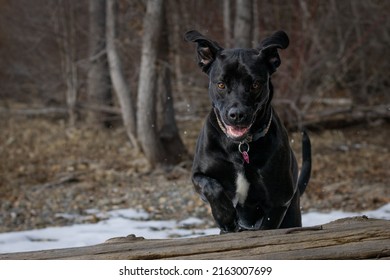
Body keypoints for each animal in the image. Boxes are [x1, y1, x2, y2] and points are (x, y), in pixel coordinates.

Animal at [185, 29, 310, 233]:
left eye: (255, 84)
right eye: (221, 84)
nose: (237, 114)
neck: (240, 146)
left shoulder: (279, 200)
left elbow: (268, 227)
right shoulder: (198, 176)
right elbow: (212, 187)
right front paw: (226, 217)